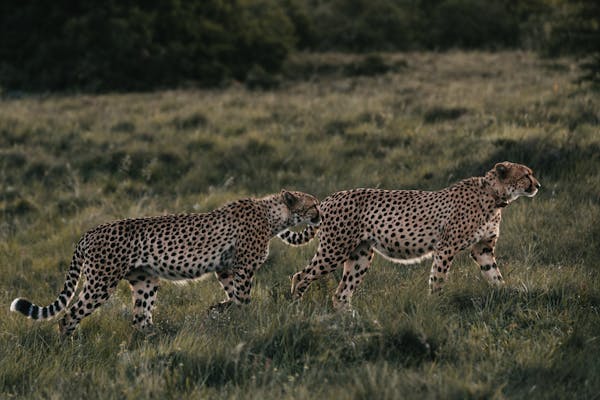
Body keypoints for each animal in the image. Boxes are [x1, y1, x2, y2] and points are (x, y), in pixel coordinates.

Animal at [10, 190, 318, 334]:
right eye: (312, 204)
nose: (319, 214)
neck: (273, 215)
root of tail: (90, 231)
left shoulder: (225, 269)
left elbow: (233, 297)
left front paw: (219, 309)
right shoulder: (242, 268)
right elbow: (243, 299)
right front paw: (246, 320)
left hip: (145, 280)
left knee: (140, 319)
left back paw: (155, 339)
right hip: (101, 282)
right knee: (69, 316)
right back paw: (70, 349)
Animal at [278, 162, 540, 310]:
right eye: (526, 175)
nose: (538, 185)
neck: (494, 196)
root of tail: (329, 198)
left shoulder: (482, 249)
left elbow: (495, 275)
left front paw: (506, 296)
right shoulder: (446, 247)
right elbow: (438, 279)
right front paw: (436, 306)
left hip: (360, 255)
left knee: (341, 294)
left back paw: (351, 323)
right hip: (335, 249)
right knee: (300, 276)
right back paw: (297, 310)